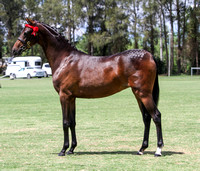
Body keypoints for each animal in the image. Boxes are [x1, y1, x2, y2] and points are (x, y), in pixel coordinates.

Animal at [11, 18, 163, 156]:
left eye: (26, 32)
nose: (14, 50)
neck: (65, 59)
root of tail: (149, 55)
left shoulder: (64, 96)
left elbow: (65, 122)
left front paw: (63, 150)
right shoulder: (72, 97)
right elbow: (72, 122)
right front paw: (72, 149)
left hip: (144, 94)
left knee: (156, 116)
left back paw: (158, 150)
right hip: (137, 94)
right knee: (146, 118)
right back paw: (141, 149)